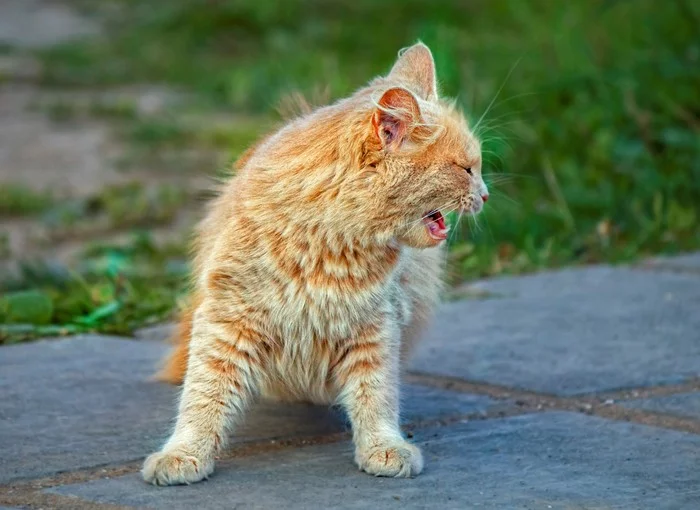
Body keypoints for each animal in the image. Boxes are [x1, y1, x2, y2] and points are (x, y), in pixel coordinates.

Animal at [144, 41, 486, 484]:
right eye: (465, 168)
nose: (485, 194)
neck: (326, 244)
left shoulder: (375, 327)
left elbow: (375, 396)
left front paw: (383, 448)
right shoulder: (227, 320)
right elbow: (203, 397)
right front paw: (184, 453)